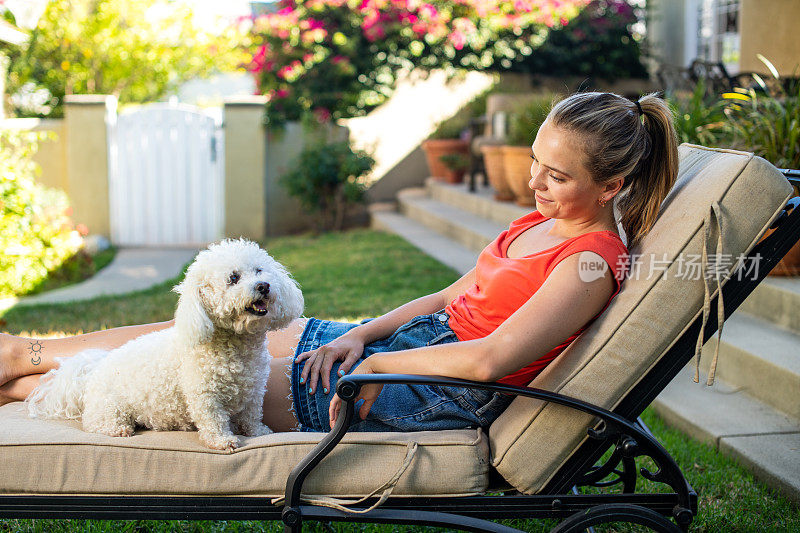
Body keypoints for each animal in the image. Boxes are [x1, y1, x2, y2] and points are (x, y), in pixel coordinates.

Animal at [25, 238, 304, 448]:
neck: (235, 347)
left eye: (259, 270)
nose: (264, 286)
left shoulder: (254, 391)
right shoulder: (203, 394)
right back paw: (119, 429)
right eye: (233, 278)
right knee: (97, 423)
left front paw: (259, 433)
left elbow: (252, 415)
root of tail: (93, 369)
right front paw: (222, 440)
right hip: (108, 407)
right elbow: (213, 419)